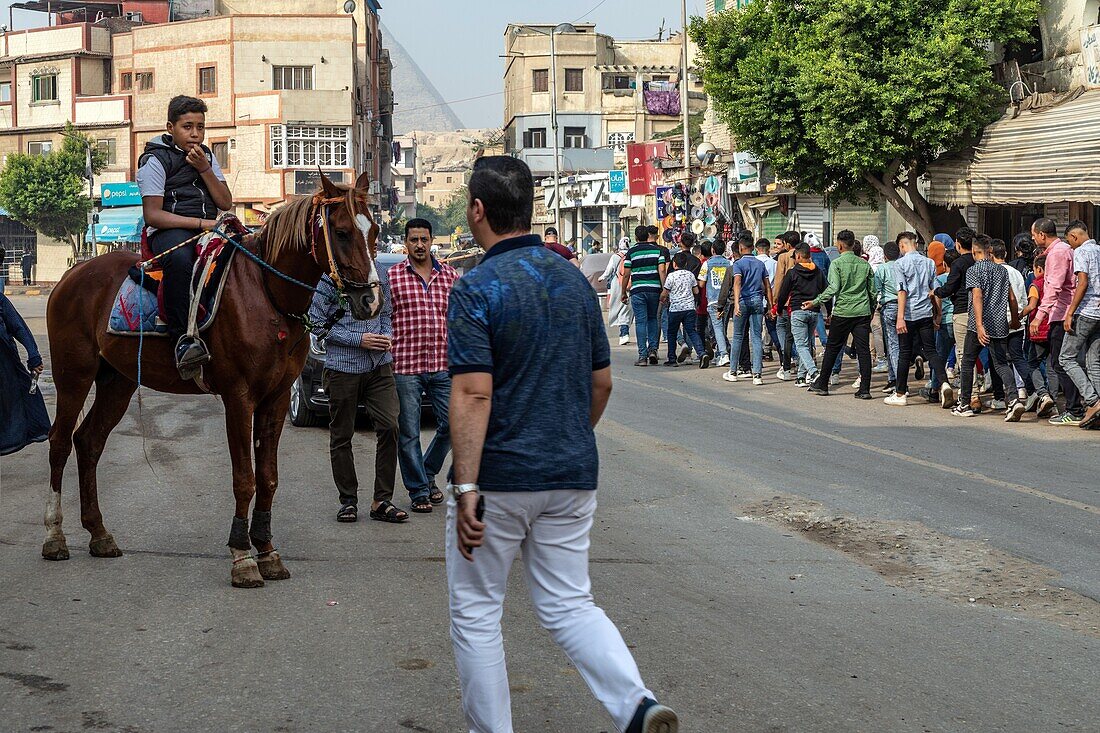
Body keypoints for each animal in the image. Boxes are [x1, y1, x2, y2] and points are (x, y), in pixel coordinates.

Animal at [42, 171, 380, 589]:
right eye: (343, 232)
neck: (266, 293)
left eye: (375, 230)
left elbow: (268, 477)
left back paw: (99, 534)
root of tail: (72, 275)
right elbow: (244, 478)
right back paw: (55, 536)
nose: (370, 302)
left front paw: (267, 551)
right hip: (73, 375)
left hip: (117, 382)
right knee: (59, 443)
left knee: (88, 442)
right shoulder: (239, 398)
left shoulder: (276, 399)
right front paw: (242, 557)